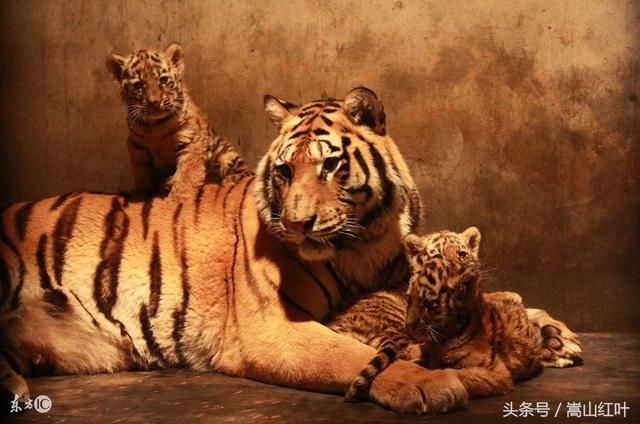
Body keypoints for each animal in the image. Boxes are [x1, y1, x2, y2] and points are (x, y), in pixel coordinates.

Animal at [106, 43, 250, 199]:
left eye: (163, 80)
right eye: (138, 85)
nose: (154, 102)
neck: (155, 127)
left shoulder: (190, 142)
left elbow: (186, 176)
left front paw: (176, 199)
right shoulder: (137, 146)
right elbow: (141, 173)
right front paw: (139, 193)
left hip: (225, 155)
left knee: (243, 175)